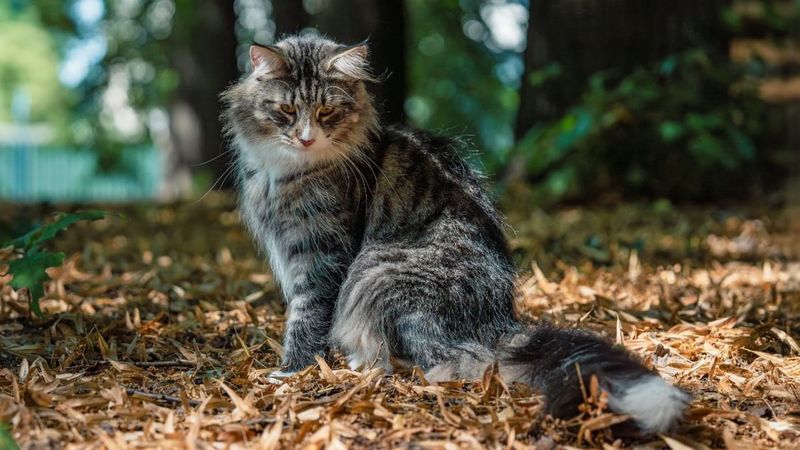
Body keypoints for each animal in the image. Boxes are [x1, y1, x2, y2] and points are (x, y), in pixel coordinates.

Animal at [222, 34, 692, 432]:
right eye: (286, 111)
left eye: (326, 112)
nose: (305, 138)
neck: (284, 174)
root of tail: (498, 320)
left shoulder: (321, 251)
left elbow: (307, 314)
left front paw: (292, 371)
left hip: (377, 272)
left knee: (451, 362)